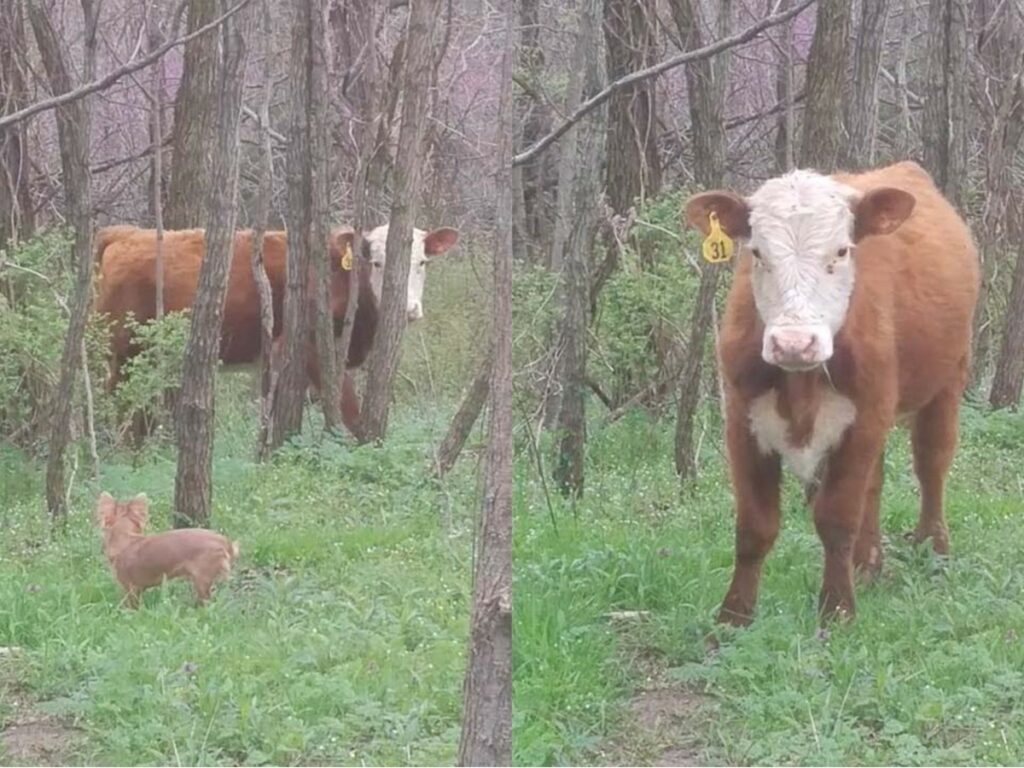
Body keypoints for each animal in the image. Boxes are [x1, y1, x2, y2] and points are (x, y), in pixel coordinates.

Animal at [92, 225, 460, 436]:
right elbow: (348, 410)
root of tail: (124, 234)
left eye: (422, 262)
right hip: (125, 355)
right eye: (377, 262)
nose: (409, 309)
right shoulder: (310, 347)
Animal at [684, 160, 978, 626]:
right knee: (875, 482)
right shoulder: (741, 419)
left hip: (949, 377)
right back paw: (867, 564)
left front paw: (837, 611)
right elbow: (754, 525)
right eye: (757, 253)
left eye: (841, 252)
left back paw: (933, 549)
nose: (794, 342)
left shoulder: (866, 416)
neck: (800, 381)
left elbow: (837, 516)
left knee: (932, 462)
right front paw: (733, 618)